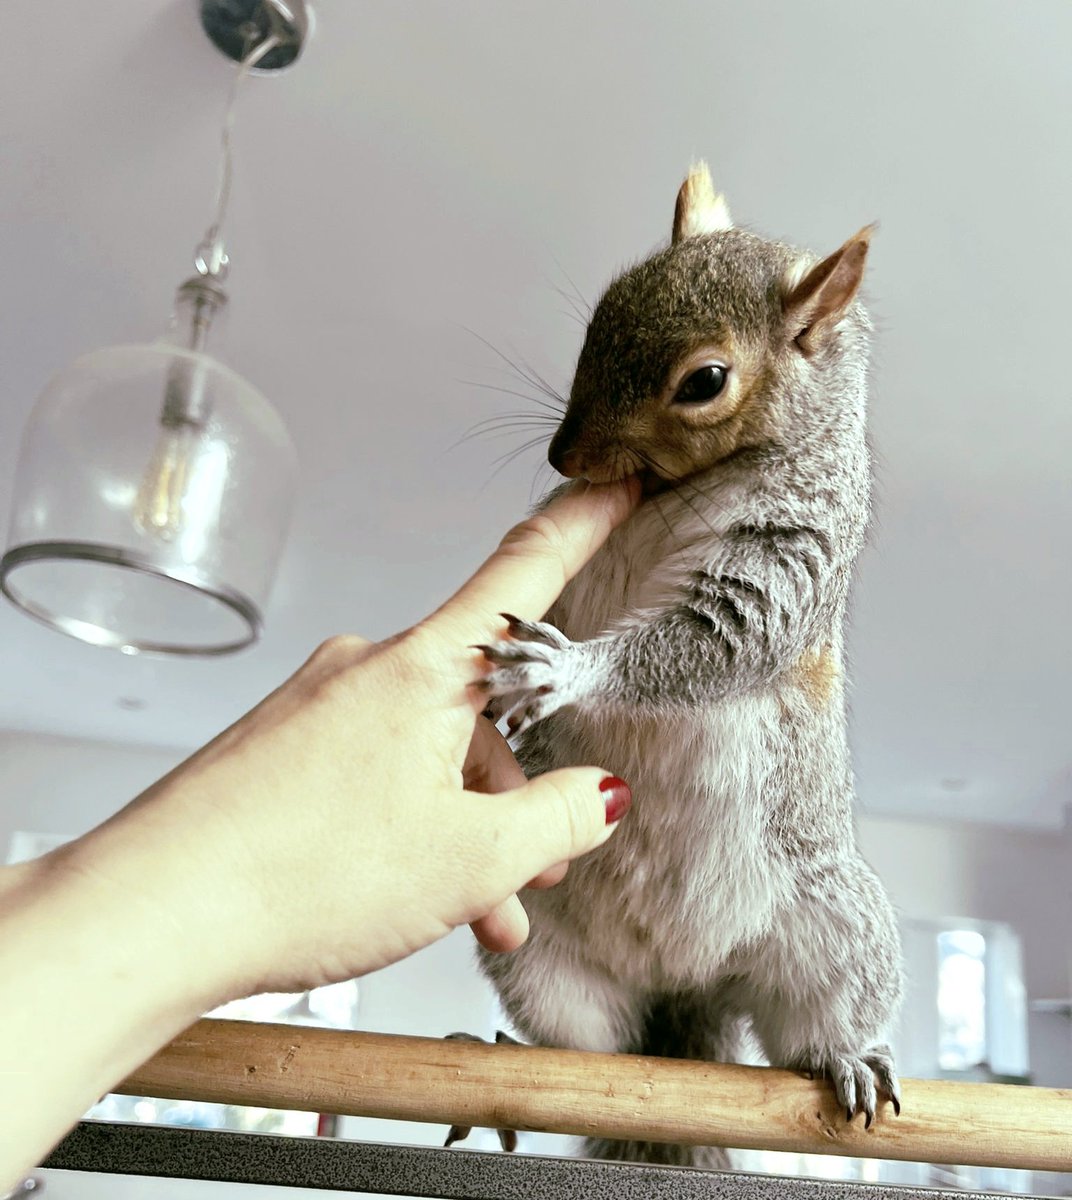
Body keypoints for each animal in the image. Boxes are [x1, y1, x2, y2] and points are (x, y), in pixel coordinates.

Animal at [469, 163, 904, 1168]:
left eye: (705, 381)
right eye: (599, 315)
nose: (561, 454)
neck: (675, 491)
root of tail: (684, 980)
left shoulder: (794, 554)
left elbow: (717, 640)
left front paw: (563, 673)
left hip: (836, 930)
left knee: (819, 1024)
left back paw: (852, 1059)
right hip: (536, 947)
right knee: (586, 1045)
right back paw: (509, 1062)